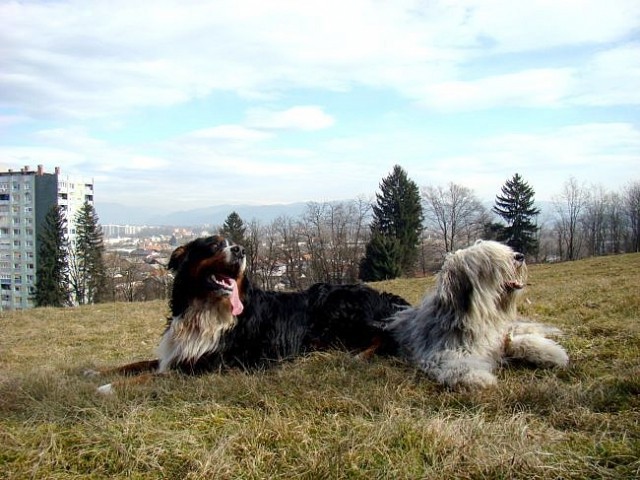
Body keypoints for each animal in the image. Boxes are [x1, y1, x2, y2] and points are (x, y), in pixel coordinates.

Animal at [388, 240, 568, 390]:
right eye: (489, 259)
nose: (520, 256)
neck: (479, 318)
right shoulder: (436, 353)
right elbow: (457, 364)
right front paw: (478, 377)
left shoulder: (499, 340)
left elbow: (521, 341)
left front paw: (552, 352)